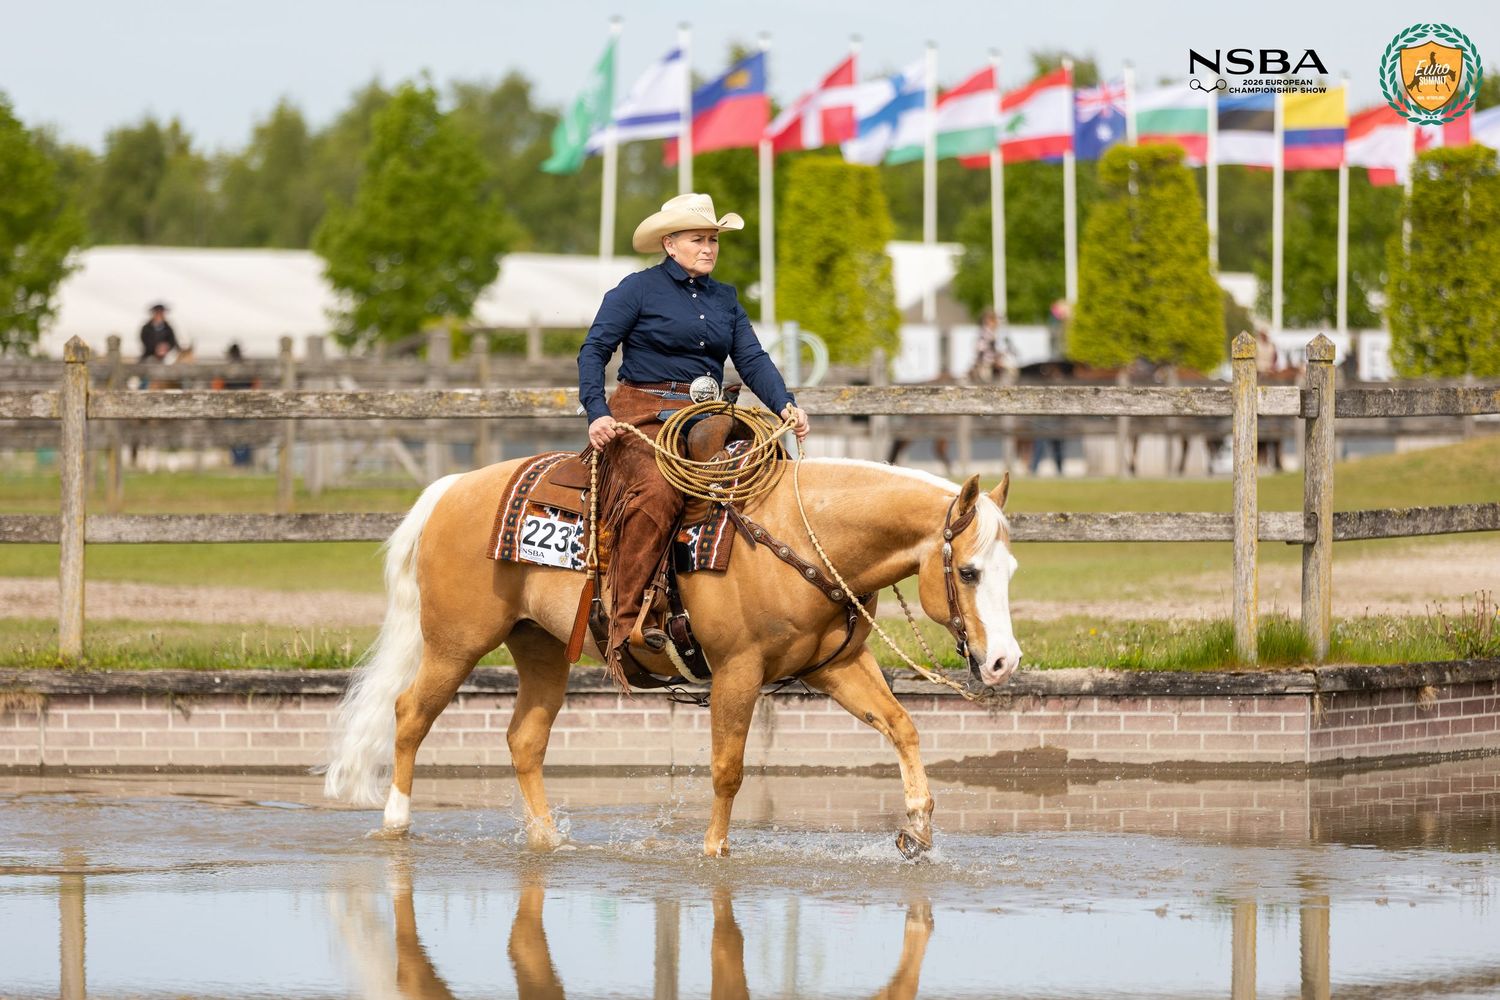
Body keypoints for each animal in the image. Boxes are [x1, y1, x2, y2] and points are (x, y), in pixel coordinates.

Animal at [322, 457, 1022, 858]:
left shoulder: (838, 667)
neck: (796, 538)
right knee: (410, 714)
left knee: (524, 739)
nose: (1003, 663)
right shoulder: (738, 672)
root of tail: (450, 490)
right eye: (969, 570)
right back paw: (395, 824)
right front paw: (713, 853)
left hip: (541, 647)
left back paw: (548, 840)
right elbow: (728, 770)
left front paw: (918, 830)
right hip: (455, 643)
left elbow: (902, 726)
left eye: (1011, 569)